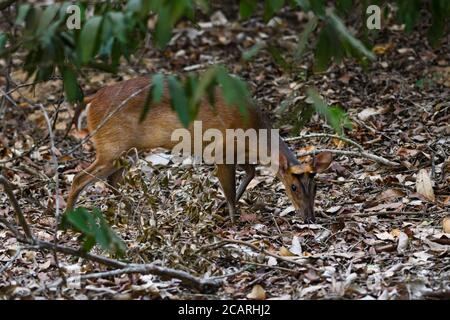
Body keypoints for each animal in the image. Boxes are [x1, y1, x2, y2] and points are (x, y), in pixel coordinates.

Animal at [67, 76, 334, 224]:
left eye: (316, 186)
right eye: (293, 187)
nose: (309, 218)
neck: (252, 133)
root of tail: (91, 100)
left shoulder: (239, 154)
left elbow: (250, 174)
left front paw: (223, 208)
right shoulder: (221, 151)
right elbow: (229, 189)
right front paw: (233, 219)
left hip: (125, 150)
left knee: (111, 180)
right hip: (111, 146)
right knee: (79, 177)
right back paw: (67, 219)